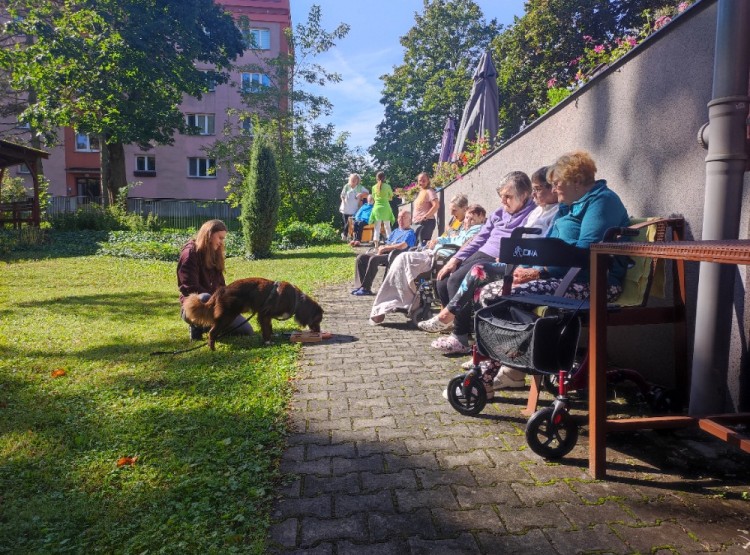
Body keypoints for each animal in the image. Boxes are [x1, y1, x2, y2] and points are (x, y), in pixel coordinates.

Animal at [184, 276, 324, 350]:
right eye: (318, 320)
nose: (319, 331)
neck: (296, 300)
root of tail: (222, 289)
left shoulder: (266, 316)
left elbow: (269, 328)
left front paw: (272, 336)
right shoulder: (264, 314)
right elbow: (266, 330)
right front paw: (268, 342)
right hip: (227, 316)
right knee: (212, 332)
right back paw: (212, 349)